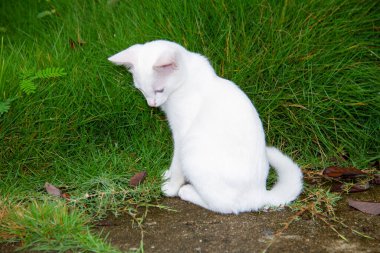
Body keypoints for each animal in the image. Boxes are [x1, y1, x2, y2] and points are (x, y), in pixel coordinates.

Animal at [107, 40, 302, 213]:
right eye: (141, 90)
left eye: (159, 90)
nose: (151, 104)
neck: (186, 80)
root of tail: (259, 194)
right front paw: (167, 175)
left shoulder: (181, 135)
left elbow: (177, 164)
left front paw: (171, 187)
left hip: (193, 151)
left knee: (225, 206)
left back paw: (187, 191)